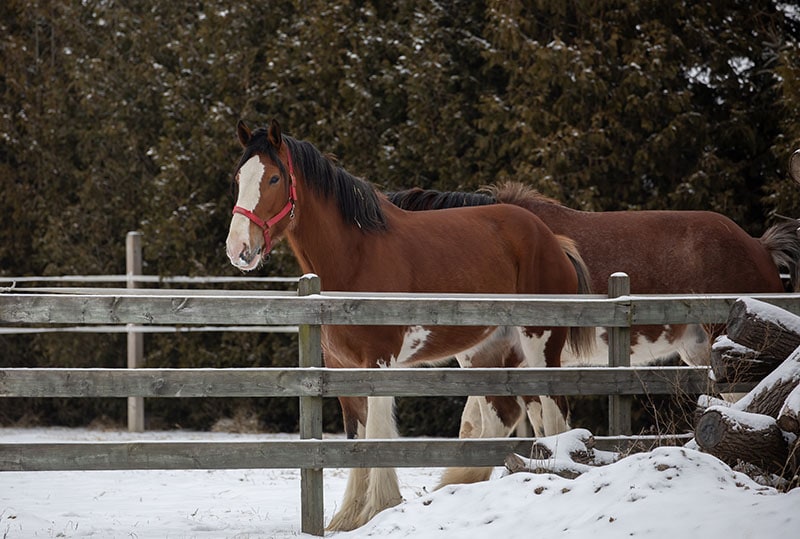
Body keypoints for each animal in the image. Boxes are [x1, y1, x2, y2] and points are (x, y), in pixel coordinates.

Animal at [225, 120, 592, 528]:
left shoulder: (379, 361)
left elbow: (378, 434)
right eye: (238, 177)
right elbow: (357, 437)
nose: (239, 248)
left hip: (541, 342)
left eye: (274, 178)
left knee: (554, 411)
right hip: (484, 351)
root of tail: (552, 239)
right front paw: (349, 518)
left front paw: (378, 507)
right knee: (503, 415)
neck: (355, 256)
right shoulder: (342, 367)